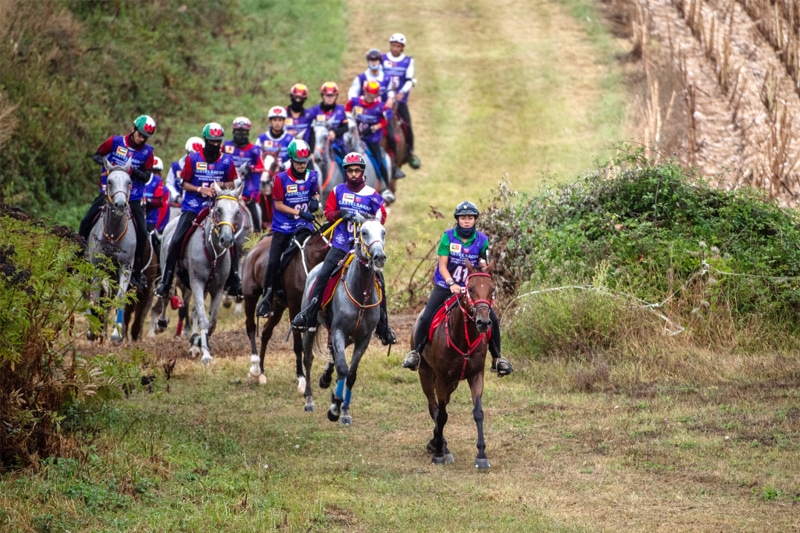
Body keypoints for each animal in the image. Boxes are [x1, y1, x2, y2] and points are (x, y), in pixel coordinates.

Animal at [85, 161, 136, 343]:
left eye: (129, 182)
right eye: (109, 181)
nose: (120, 205)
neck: (113, 234)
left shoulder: (126, 266)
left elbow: (120, 297)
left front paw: (116, 334)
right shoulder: (97, 267)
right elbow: (95, 295)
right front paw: (93, 330)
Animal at [156, 181, 244, 364]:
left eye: (237, 212)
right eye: (219, 209)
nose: (226, 239)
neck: (213, 252)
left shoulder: (217, 288)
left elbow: (212, 322)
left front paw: (197, 342)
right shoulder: (197, 283)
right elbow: (204, 320)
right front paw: (206, 355)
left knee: (195, 311)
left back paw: (194, 345)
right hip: (172, 273)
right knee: (166, 295)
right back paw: (161, 323)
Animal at [241, 227, 329, 388]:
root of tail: (254, 250)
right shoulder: (294, 306)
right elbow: (298, 344)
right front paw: (301, 378)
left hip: (278, 307)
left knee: (266, 332)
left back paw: (261, 371)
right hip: (250, 296)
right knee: (250, 326)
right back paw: (255, 369)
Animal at [300, 219, 386, 422]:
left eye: (383, 232)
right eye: (364, 232)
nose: (379, 257)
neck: (361, 294)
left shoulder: (363, 339)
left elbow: (351, 374)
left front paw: (344, 411)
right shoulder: (338, 331)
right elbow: (343, 369)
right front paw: (335, 408)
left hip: (345, 337)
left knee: (332, 356)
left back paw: (325, 379)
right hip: (310, 329)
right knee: (308, 359)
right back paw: (309, 400)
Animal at [414, 262, 495, 468]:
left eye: (492, 289)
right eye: (470, 289)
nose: (483, 322)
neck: (464, 338)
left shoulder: (476, 375)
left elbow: (478, 412)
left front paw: (481, 456)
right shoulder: (441, 379)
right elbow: (441, 415)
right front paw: (439, 454)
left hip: (453, 383)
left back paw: (436, 441)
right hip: (426, 374)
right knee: (434, 407)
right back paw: (440, 445)